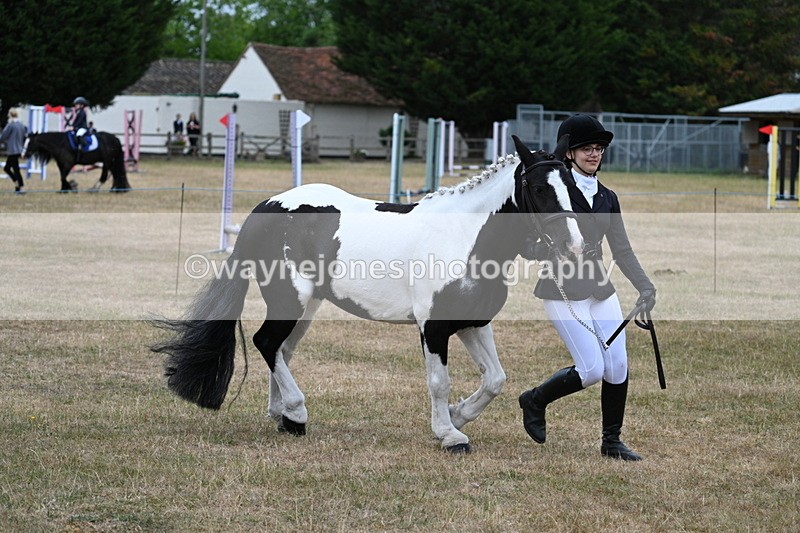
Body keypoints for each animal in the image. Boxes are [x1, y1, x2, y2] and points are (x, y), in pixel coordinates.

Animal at [151, 134, 584, 453]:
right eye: (539, 188)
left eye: (574, 185)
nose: (574, 245)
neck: (464, 236)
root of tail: (267, 207)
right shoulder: (433, 327)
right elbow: (438, 381)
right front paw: (449, 434)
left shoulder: (473, 322)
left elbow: (495, 378)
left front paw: (458, 416)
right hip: (290, 299)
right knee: (267, 342)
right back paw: (297, 413)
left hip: (306, 306)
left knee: (281, 350)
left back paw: (283, 417)